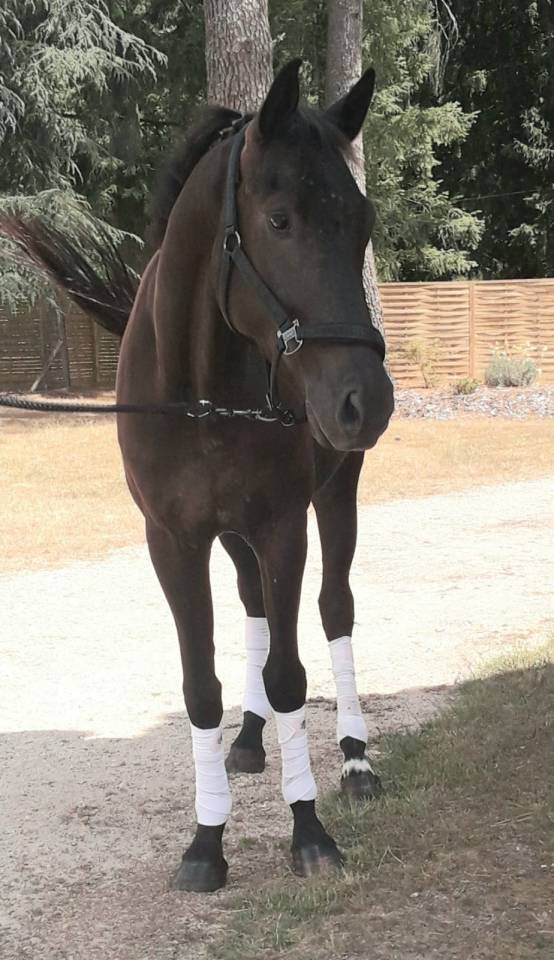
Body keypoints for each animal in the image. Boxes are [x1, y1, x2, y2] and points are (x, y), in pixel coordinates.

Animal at [6, 59, 394, 892]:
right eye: (278, 220)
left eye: (364, 222)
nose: (366, 401)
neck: (201, 386)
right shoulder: (174, 541)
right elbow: (201, 683)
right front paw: (206, 840)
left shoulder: (282, 527)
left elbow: (290, 673)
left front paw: (308, 829)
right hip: (235, 534)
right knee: (252, 612)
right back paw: (247, 739)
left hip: (334, 496)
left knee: (335, 610)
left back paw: (353, 761)